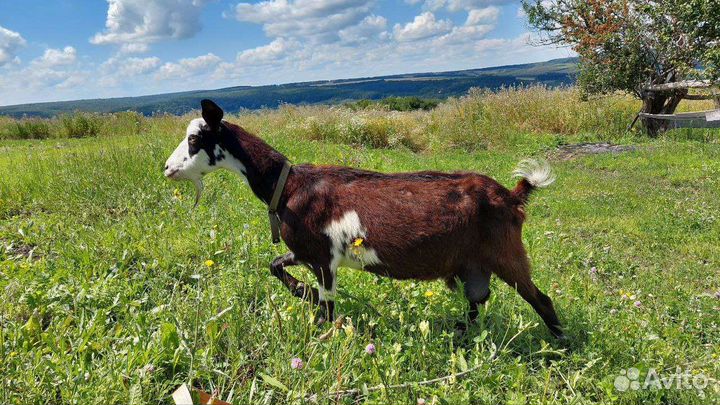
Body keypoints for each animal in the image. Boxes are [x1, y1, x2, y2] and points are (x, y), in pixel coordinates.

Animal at [164, 100, 564, 338]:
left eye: (195, 139)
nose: (167, 168)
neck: (289, 185)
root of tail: (512, 195)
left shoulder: (323, 260)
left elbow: (328, 307)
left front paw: (320, 327)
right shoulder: (307, 251)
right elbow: (274, 264)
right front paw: (304, 293)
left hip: (506, 254)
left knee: (540, 298)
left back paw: (560, 344)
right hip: (473, 265)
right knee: (478, 300)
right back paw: (459, 333)